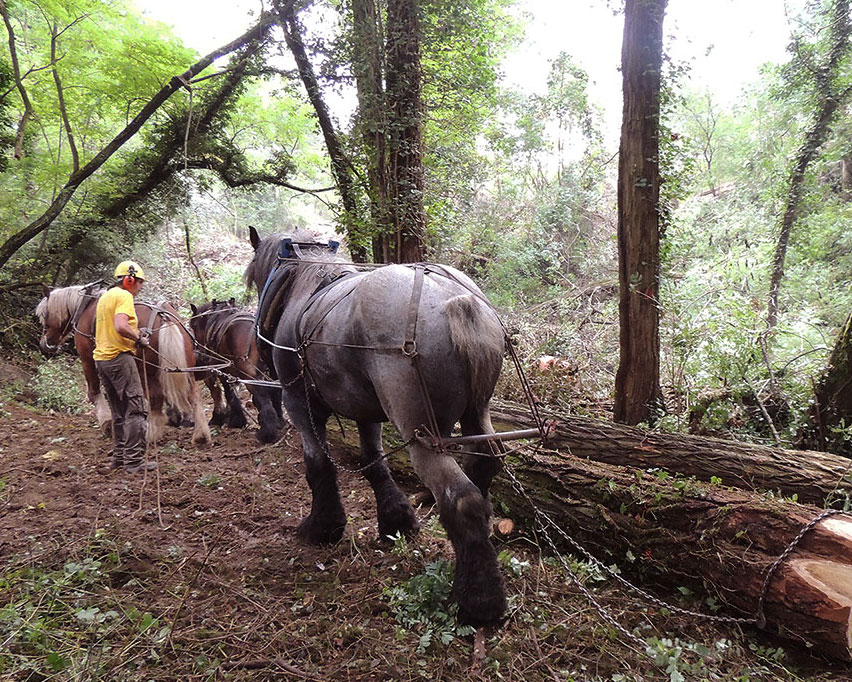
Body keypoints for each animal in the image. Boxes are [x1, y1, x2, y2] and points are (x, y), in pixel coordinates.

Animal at [188, 298, 284, 440]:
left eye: (194, 326)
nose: (199, 353)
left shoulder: (224, 369)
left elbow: (229, 393)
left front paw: (236, 420)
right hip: (272, 372)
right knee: (276, 392)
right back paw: (279, 421)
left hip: (251, 375)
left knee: (262, 396)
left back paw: (267, 432)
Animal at [245, 226, 506, 624]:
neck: (307, 285)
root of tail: (455, 301)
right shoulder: (366, 410)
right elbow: (373, 463)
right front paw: (396, 521)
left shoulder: (298, 402)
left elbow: (318, 466)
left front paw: (323, 526)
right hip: (477, 413)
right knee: (484, 465)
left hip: (421, 433)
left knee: (461, 497)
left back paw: (478, 600)